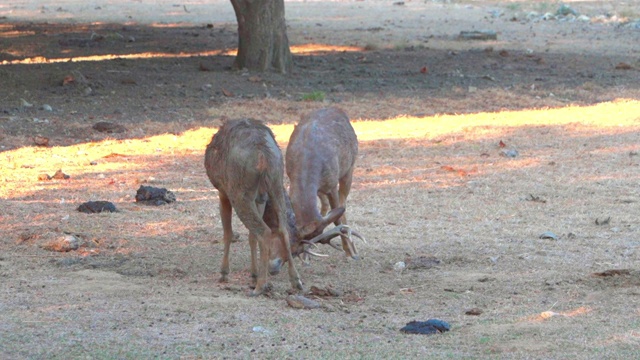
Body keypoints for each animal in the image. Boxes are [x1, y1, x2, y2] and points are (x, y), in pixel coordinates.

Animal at [205, 118, 344, 296]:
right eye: (295, 251)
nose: (275, 269)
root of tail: (263, 154)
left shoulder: (223, 191)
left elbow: (228, 233)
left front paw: (224, 274)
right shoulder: (261, 198)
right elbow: (252, 237)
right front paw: (253, 274)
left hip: (238, 191)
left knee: (264, 231)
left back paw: (260, 286)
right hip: (276, 181)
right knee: (282, 228)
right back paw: (295, 281)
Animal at [284, 107, 364, 262]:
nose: (296, 252)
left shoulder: (331, 184)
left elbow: (338, 219)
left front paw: (349, 252)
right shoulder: (291, 180)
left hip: (349, 168)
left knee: (343, 202)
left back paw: (353, 249)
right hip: (322, 188)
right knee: (325, 204)